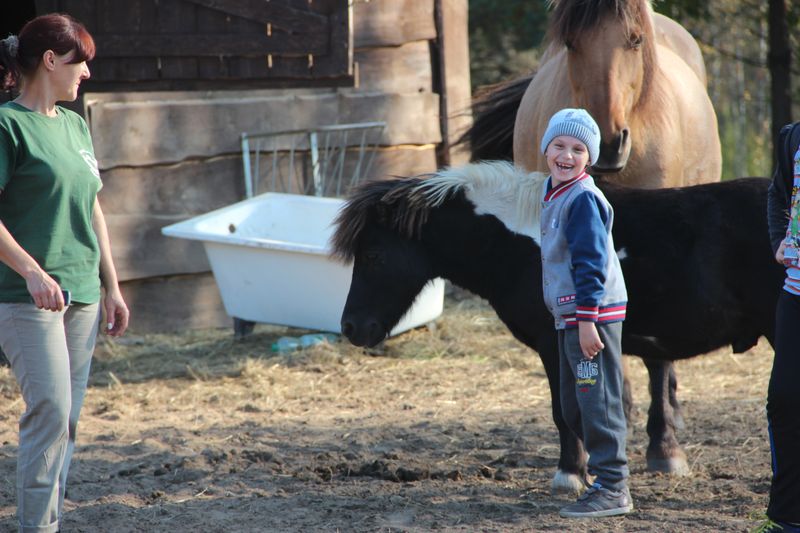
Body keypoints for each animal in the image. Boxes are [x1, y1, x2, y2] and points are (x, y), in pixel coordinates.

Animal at [330, 160, 780, 492]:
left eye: (373, 255)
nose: (351, 327)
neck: (525, 240)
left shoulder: (555, 344)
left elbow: (565, 412)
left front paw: (570, 476)